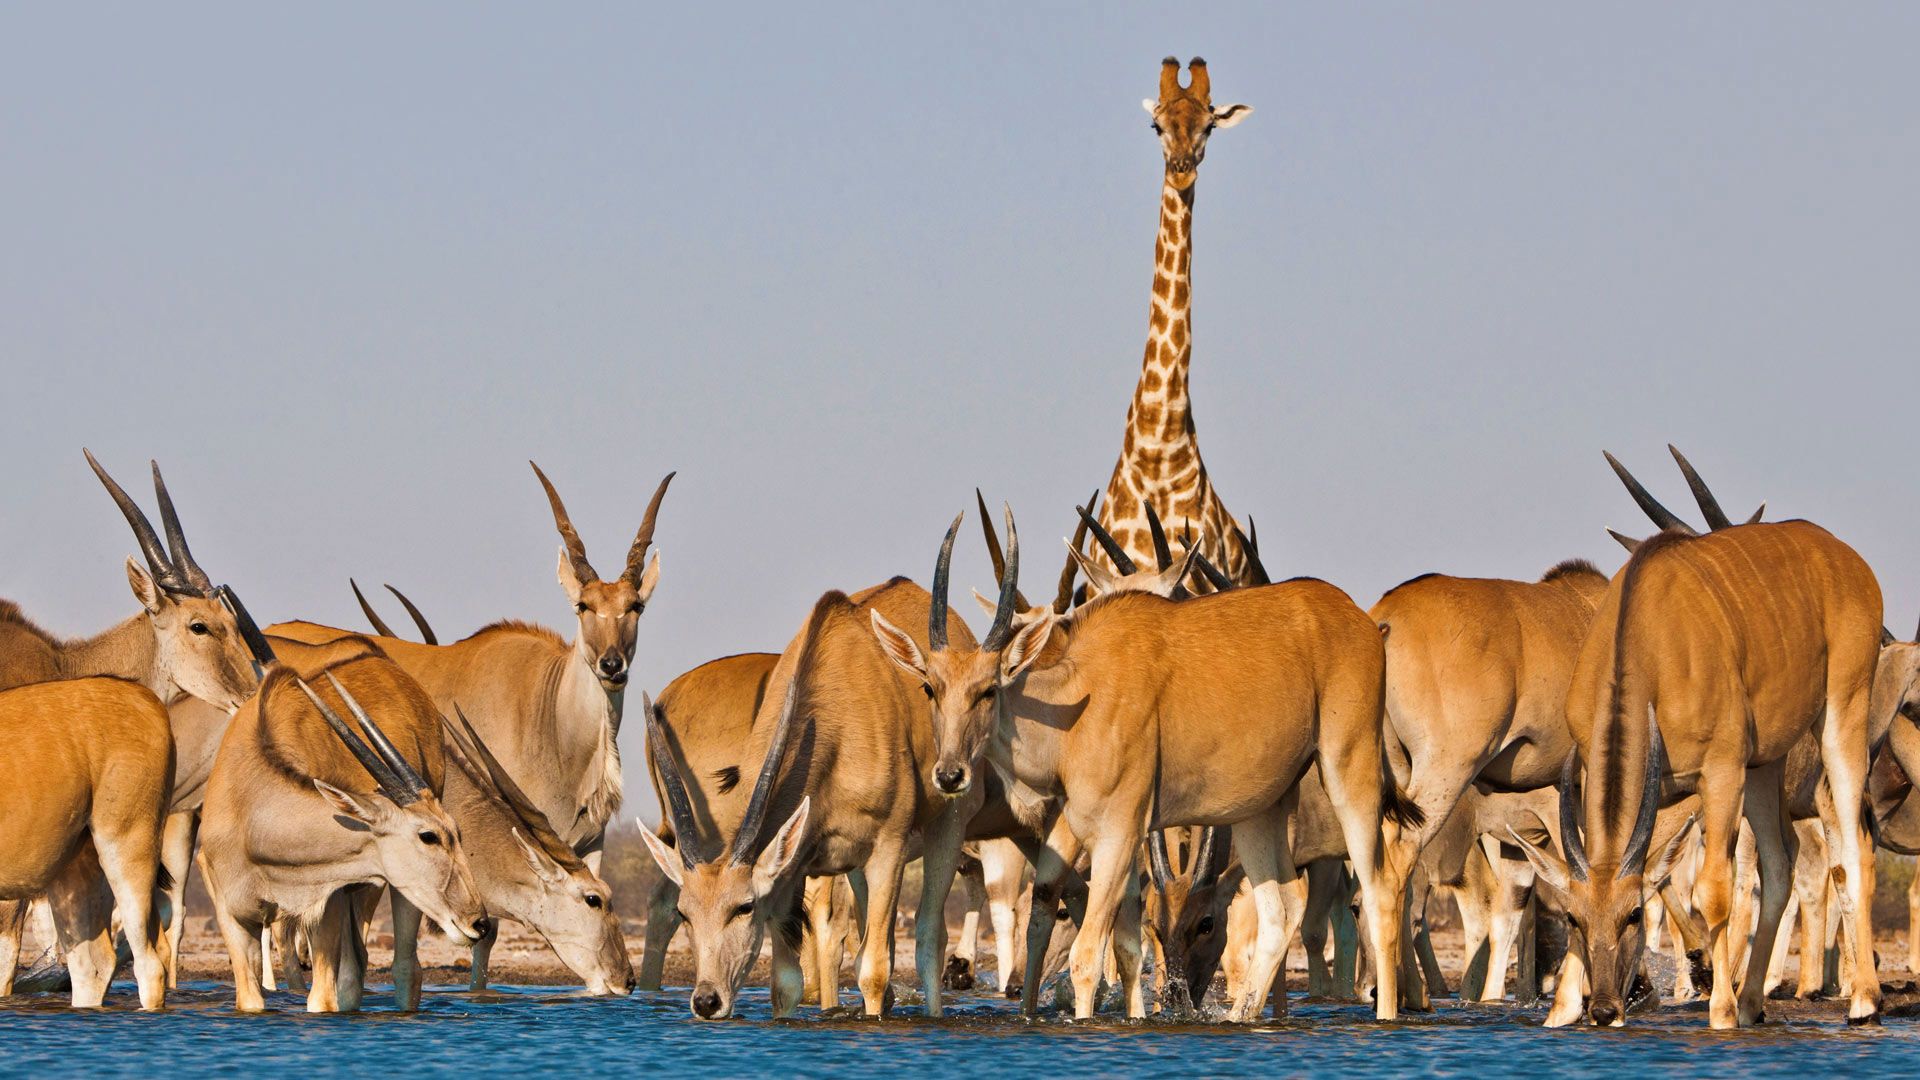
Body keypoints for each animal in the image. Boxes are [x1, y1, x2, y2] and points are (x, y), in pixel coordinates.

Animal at [196, 642, 490, 1012]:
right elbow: (251, 998)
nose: (479, 922)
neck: (248, 805)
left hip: (396, 892)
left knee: (399, 968)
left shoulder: (328, 904)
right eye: (429, 836)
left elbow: (323, 1000)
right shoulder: (232, 917)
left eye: (458, 834)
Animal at [266, 461, 672, 987]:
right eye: (583, 606)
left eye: (635, 606)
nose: (612, 664)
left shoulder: (588, 845)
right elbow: (484, 937)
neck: (551, 716)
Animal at [873, 506, 1422, 1022]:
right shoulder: (1071, 829)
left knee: (1380, 890)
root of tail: (1359, 618)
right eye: (930, 687)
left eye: (988, 689)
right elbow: (1054, 915)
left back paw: (1384, 1016)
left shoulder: (1121, 832)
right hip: (1257, 811)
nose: (949, 774)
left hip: (1347, 772)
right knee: (1281, 910)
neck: (1077, 699)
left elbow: (1089, 953)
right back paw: (1243, 1018)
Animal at [1509, 450, 1885, 1029]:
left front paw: (1720, 1010)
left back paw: (1862, 1000)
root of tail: (1848, 559)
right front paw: (1561, 1010)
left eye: (1633, 915)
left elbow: (1714, 891)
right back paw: (1753, 1003)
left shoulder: (1720, 772)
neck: (1648, 637)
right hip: (1765, 765)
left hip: (1842, 714)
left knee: (1852, 851)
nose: (1605, 1008)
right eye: (1575, 919)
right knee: (1782, 861)